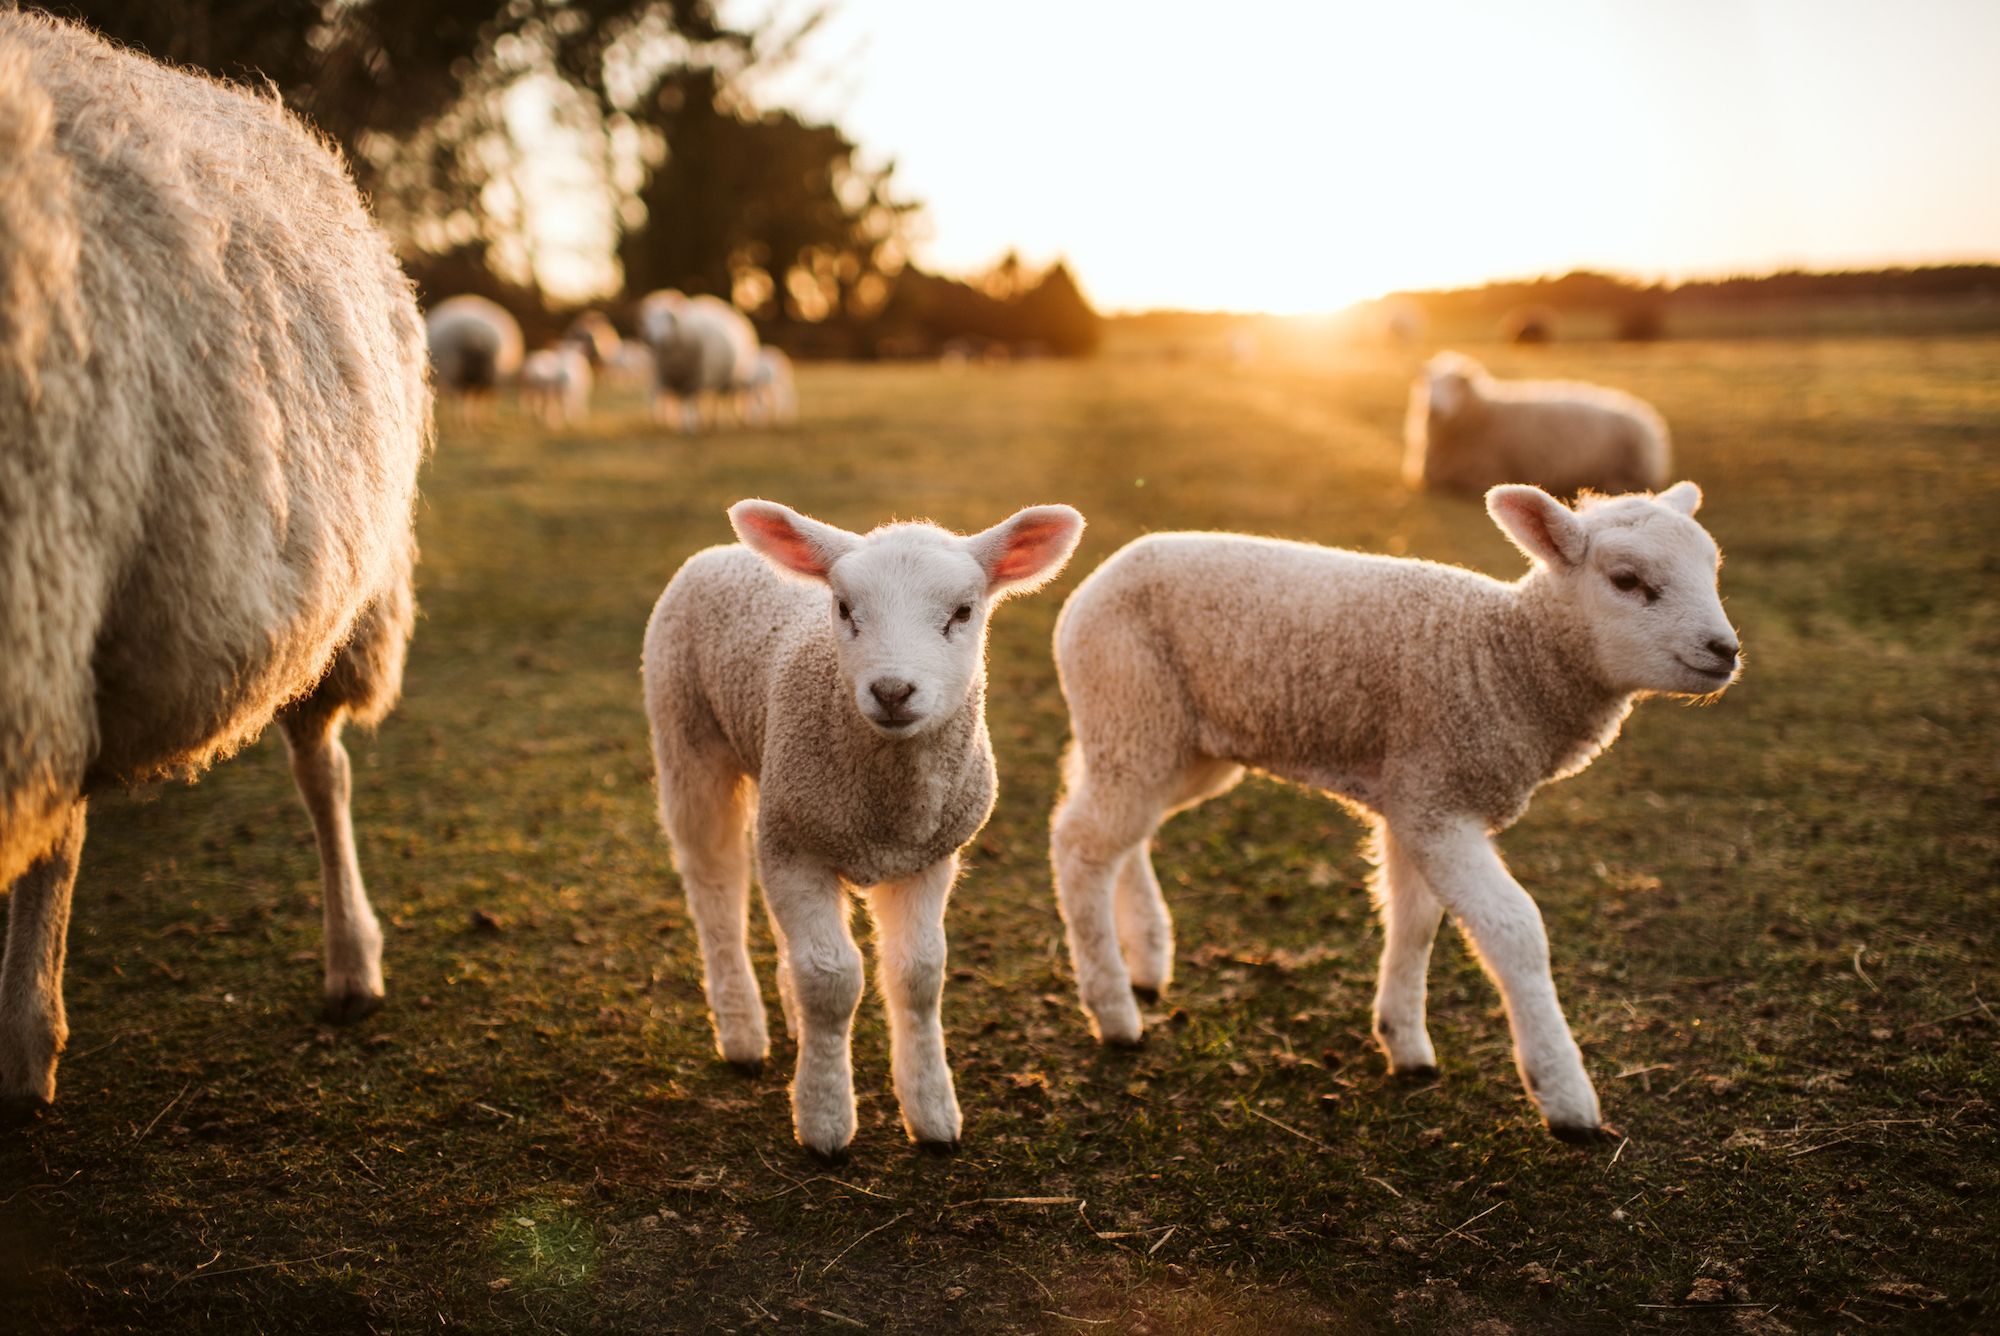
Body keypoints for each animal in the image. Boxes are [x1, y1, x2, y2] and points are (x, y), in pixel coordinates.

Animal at [637, 289, 760, 432]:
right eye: (647, 319)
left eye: (669, 316)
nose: (650, 338)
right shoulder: (662, 376)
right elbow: (662, 398)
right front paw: (667, 424)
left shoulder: (694, 378)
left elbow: (687, 401)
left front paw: (689, 426)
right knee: (712, 399)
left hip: (733, 377)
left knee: (725, 399)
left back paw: (725, 422)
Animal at [643, 500, 1085, 1157]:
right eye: (845, 608)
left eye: (963, 611)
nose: (893, 691)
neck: (888, 809)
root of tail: (724, 551)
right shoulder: (798, 847)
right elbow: (831, 978)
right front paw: (825, 1118)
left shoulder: (925, 856)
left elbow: (918, 974)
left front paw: (932, 1112)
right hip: (687, 736)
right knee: (715, 886)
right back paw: (743, 1032)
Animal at [1047, 483, 1739, 1141]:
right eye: (1626, 580)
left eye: (1712, 569)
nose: (1725, 649)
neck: (1506, 659)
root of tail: (1102, 574)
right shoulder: (1437, 801)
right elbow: (1514, 930)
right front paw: (1564, 1095)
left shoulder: (1415, 797)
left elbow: (1416, 920)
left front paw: (1404, 1042)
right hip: (1132, 706)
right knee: (1081, 842)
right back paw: (1114, 1011)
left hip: (1172, 742)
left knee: (1122, 833)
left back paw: (1146, 959)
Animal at [1405, 351, 1671, 498]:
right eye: (1428, 384)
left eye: (1453, 386)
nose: (1434, 408)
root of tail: (1648, 419)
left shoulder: (1485, 473)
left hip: (1631, 468)